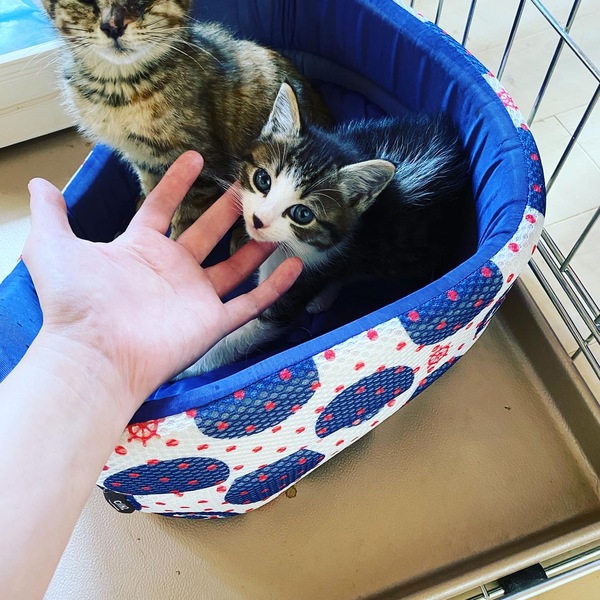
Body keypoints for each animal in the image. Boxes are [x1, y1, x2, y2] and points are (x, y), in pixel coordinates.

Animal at [41, 0, 329, 237]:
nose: (113, 25)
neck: (120, 87)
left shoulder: (202, 167)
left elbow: (185, 222)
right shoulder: (141, 157)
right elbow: (154, 190)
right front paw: (147, 209)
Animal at [178, 82, 473, 378]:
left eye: (302, 214)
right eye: (262, 179)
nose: (259, 220)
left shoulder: (301, 279)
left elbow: (245, 334)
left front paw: (190, 364)